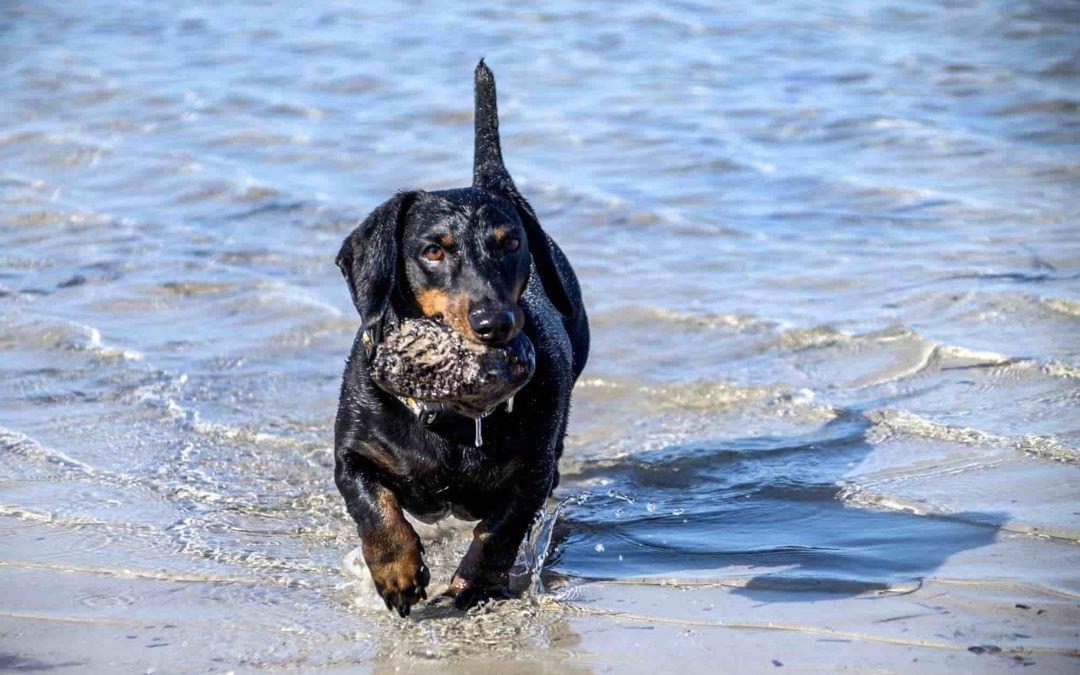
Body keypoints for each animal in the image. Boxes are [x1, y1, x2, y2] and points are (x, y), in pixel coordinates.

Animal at [334, 61, 591, 617]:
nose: (495, 324)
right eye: (433, 250)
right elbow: (374, 510)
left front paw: (472, 585)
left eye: (511, 243)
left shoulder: (532, 472)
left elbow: (499, 530)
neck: (449, 418)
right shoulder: (353, 455)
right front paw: (397, 574)